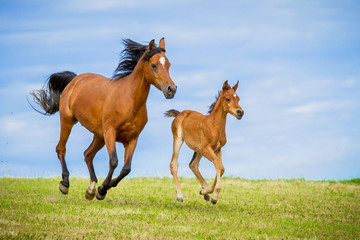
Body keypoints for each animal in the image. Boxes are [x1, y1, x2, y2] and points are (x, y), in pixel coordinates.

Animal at [30, 38, 176, 200]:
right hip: (68, 121)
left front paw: (101, 188)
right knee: (61, 149)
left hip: (98, 135)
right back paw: (65, 184)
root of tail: (75, 80)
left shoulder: (132, 138)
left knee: (88, 154)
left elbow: (126, 168)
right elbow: (114, 161)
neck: (129, 100)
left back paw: (90, 189)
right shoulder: (110, 132)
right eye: (154, 65)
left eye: (168, 64)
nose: (171, 89)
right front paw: (102, 190)